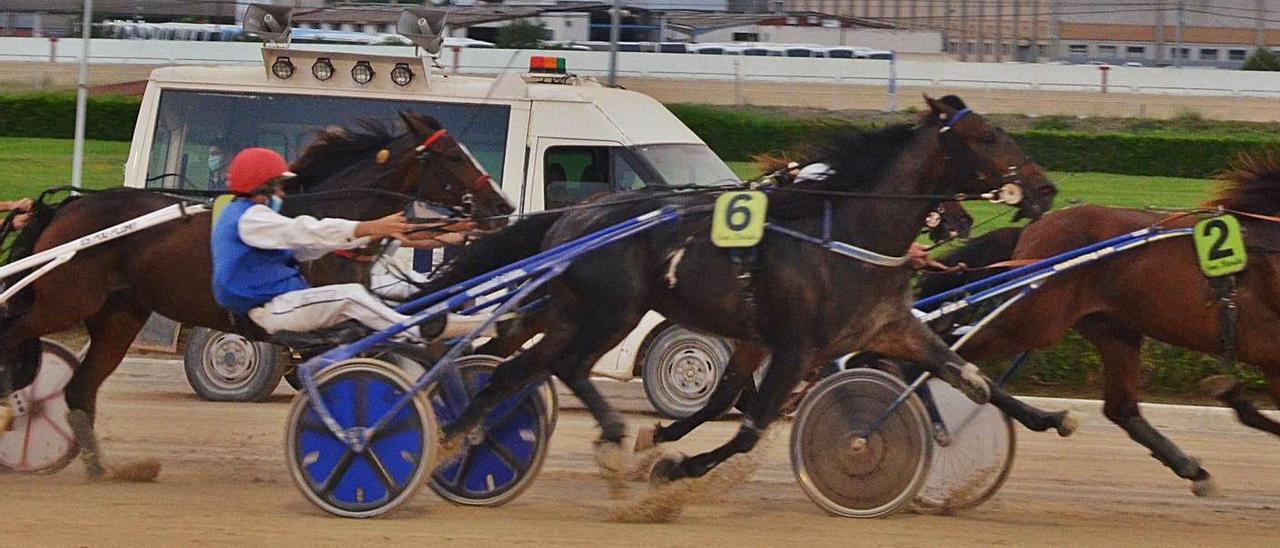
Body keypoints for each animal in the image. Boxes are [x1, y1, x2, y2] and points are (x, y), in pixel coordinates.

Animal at [1, 110, 509, 476]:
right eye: (454, 157)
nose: (502, 207)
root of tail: (68, 205)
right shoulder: (323, 322)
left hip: (119, 316)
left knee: (80, 389)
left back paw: (102, 469)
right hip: (64, 300)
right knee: (14, 332)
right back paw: (14, 406)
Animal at [942, 149, 1280, 496]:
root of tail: (1033, 229)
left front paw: (1233, 397)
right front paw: (1235, 397)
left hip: (1114, 328)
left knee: (1121, 408)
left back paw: (1190, 467)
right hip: (1034, 319)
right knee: (950, 349)